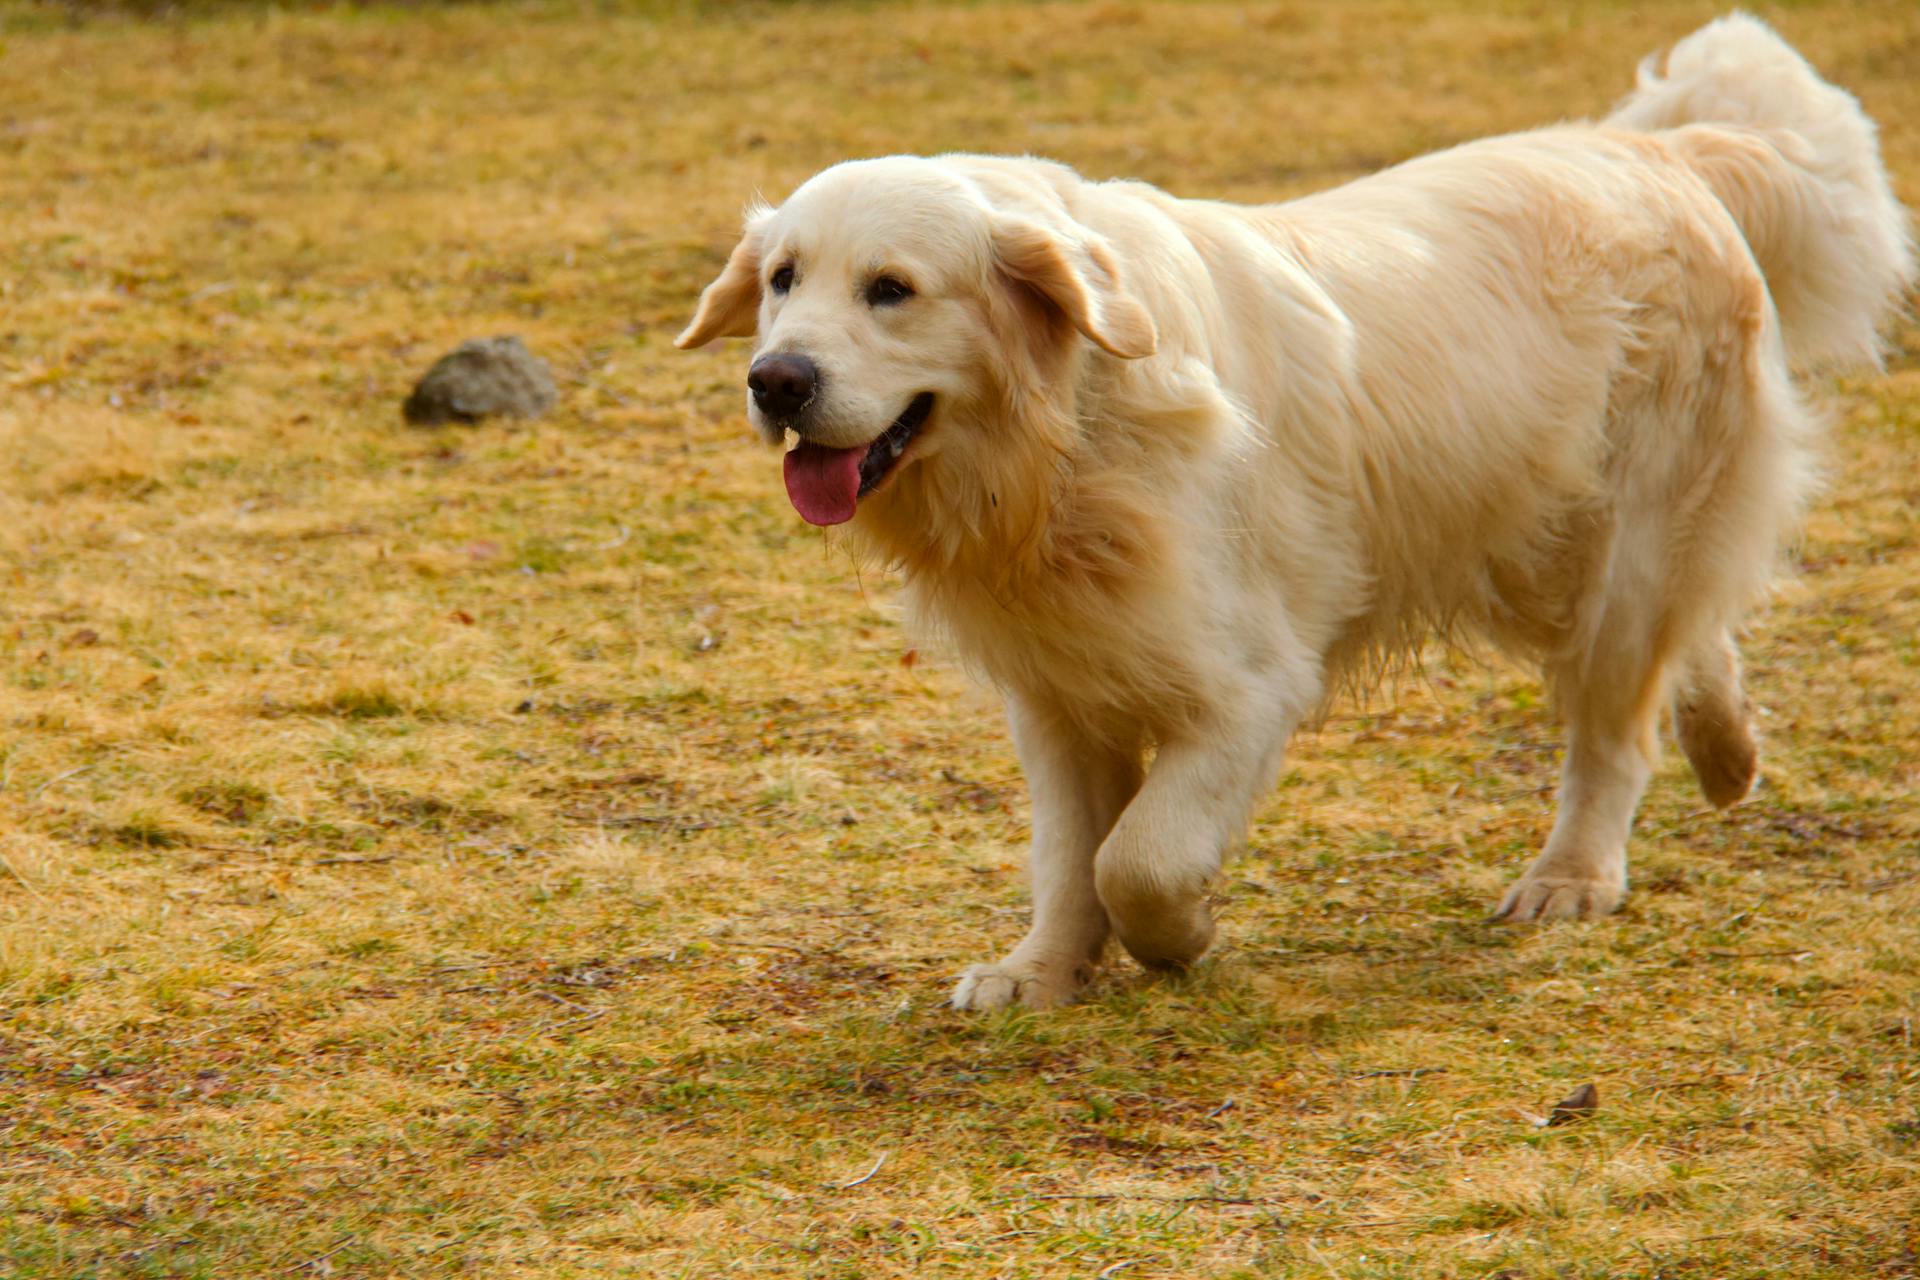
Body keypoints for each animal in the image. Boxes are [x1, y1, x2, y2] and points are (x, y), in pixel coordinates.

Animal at [675, 12, 1904, 1013]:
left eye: (892, 289)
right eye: (783, 278)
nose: (776, 381)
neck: (1067, 440)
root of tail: (1664, 152)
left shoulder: (1249, 684)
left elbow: (1138, 856)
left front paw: (1178, 937)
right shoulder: (1061, 690)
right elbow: (1071, 853)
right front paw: (1044, 969)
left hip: (1623, 543)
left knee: (1616, 724)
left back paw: (1574, 873)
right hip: (1539, 541)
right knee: (1693, 639)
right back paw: (1729, 750)